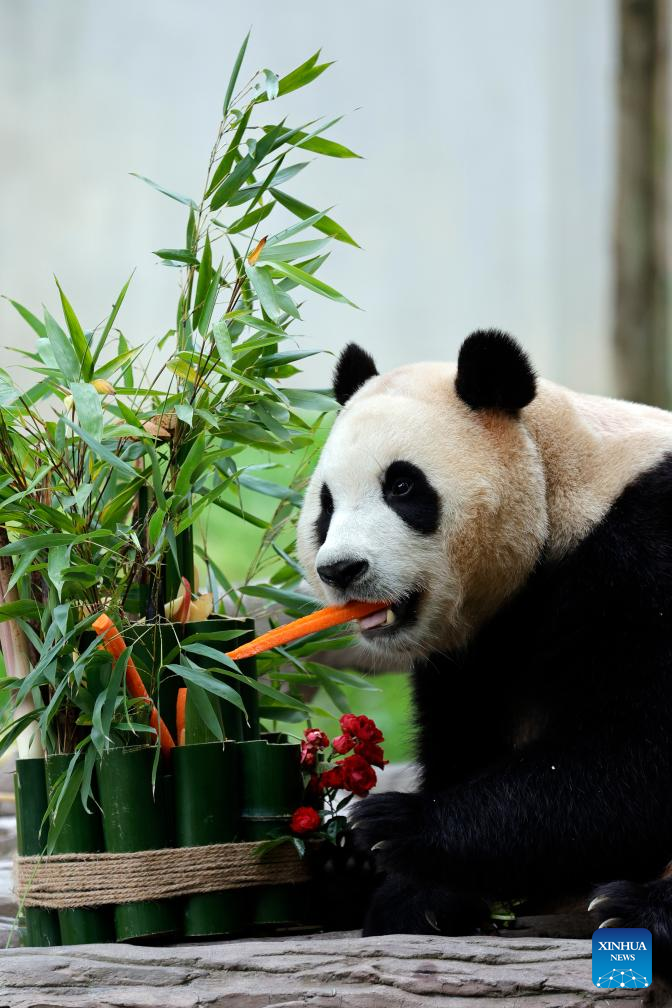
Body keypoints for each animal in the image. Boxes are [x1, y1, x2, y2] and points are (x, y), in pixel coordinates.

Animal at [298, 328, 672, 967]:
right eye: (327, 503)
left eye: (402, 485)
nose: (342, 570)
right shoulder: (478, 639)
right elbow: (463, 735)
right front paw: (413, 891)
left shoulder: (649, 550)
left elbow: (640, 751)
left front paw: (397, 828)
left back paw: (636, 910)